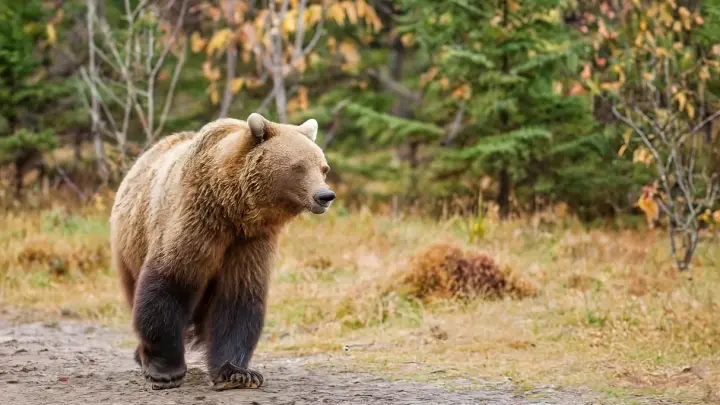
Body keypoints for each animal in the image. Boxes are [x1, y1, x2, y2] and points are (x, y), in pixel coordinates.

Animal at [109, 113, 335, 391]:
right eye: (298, 166)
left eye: (323, 168)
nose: (325, 195)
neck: (231, 209)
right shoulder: (195, 221)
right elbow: (170, 283)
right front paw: (165, 371)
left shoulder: (249, 242)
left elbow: (236, 299)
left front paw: (238, 373)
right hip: (130, 245)